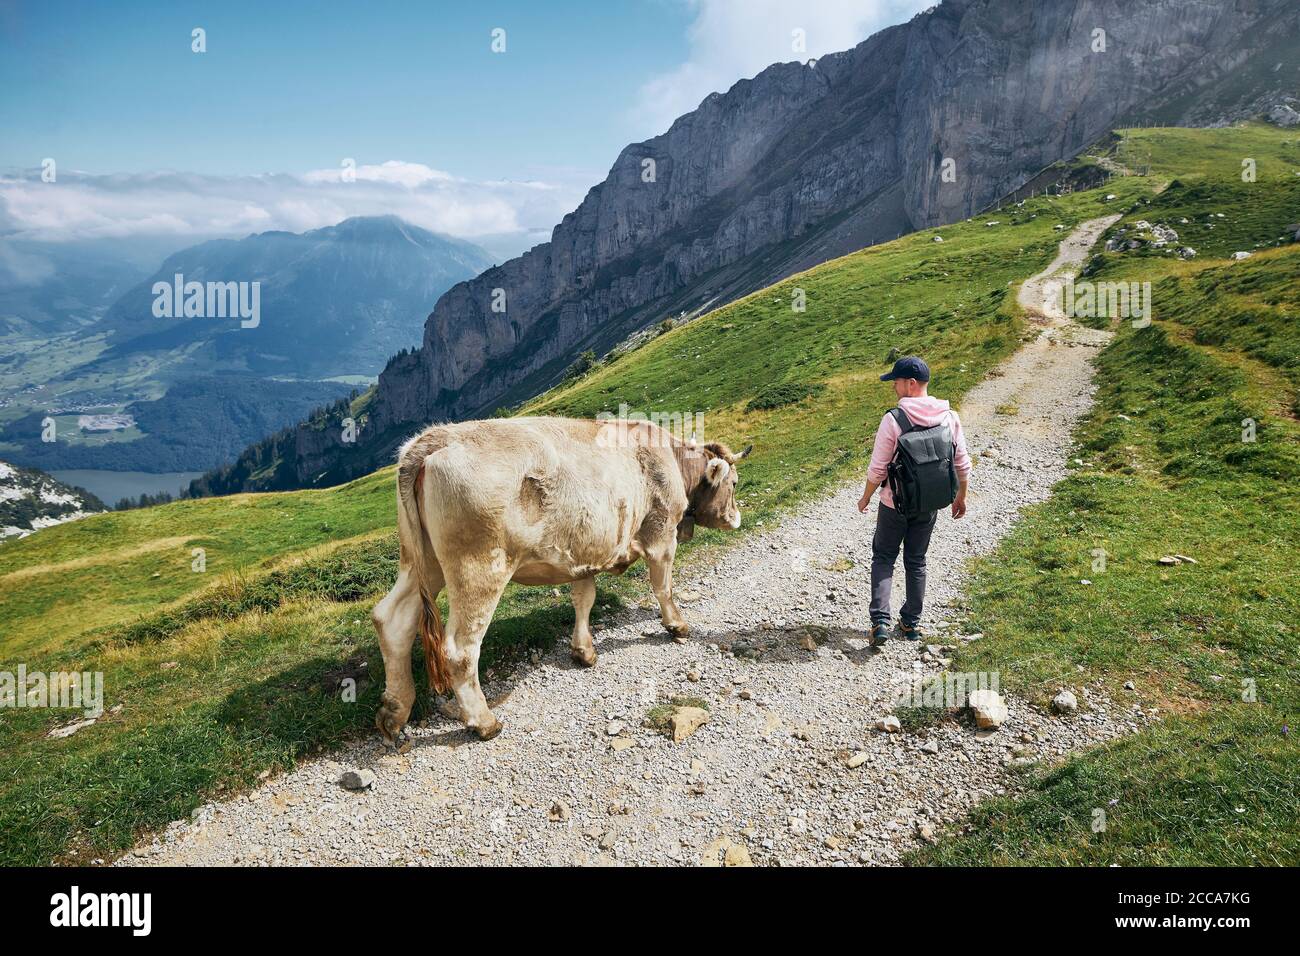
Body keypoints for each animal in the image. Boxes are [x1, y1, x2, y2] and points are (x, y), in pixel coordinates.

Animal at [371, 416, 754, 743]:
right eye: (734, 483)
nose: (736, 518)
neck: (667, 457)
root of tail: (435, 439)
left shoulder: (584, 554)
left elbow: (584, 599)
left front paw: (583, 650)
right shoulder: (661, 535)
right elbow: (663, 587)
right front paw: (676, 625)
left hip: (421, 563)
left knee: (391, 620)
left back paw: (394, 710)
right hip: (477, 568)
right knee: (460, 648)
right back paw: (483, 721)